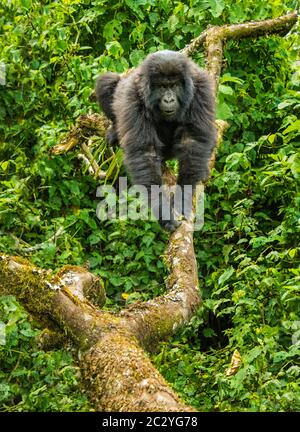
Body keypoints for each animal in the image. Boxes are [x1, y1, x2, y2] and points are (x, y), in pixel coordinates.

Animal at [95, 49, 216, 233]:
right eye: (161, 87)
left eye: (174, 85)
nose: (168, 99)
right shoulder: (133, 96)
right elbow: (146, 152)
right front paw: (164, 213)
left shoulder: (201, 88)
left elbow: (192, 142)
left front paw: (182, 198)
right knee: (107, 82)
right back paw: (114, 130)